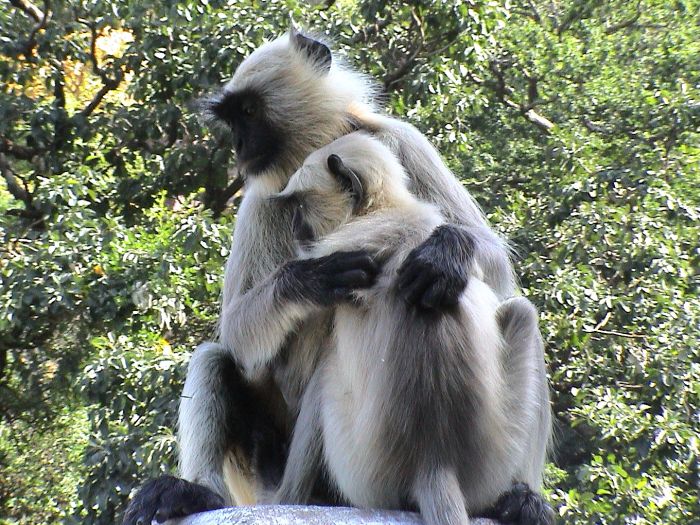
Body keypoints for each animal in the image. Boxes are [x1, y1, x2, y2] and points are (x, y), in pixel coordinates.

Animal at [270, 131, 556, 524]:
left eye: (301, 203)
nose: (296, 226)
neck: (385, 209)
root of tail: (434, 461)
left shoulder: (343, 252)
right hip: (493, 462)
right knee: (523, 314)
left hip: (361, 470)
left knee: (324, 375)